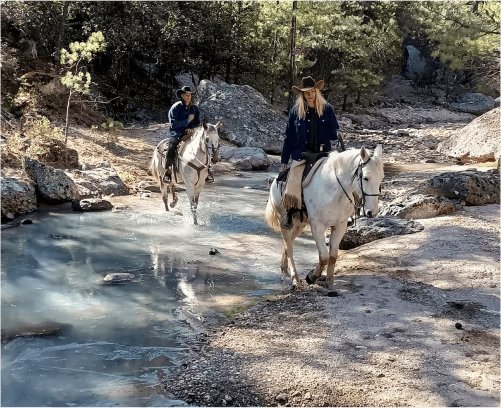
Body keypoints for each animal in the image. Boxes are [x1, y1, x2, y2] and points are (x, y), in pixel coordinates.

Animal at [266, 147, 382, 290]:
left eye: (381, 177)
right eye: (365, 178)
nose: (372, 212)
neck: (333, 189)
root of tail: (276, 179)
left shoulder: (340, 226)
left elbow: (332, 256)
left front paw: (330, 282)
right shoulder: (317, 226)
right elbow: (324, 257)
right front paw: (311, 277)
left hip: (299, 224)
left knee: (288, 244)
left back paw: (284, 268)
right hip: (284, 220)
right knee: (289, 248)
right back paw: (295, 279)